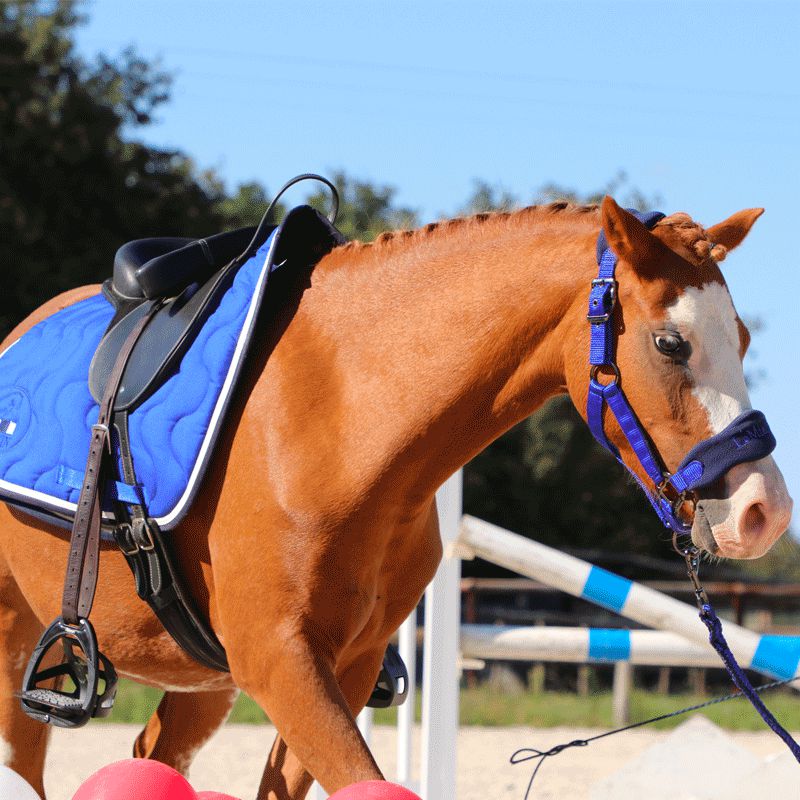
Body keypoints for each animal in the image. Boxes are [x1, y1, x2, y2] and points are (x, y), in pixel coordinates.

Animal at [0, 197, 792, 796]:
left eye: (743, 338)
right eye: (669, 344)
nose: (765, 512)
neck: (341, 414)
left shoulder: (343, 668)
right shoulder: (283, 663)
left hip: (203, 682)